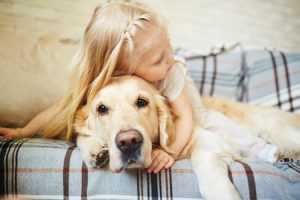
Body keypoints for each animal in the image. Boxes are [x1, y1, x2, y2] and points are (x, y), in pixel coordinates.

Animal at [74, 74, 300, 199]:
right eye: (102, 109)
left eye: (142, 102)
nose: (129, 142)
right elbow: (78, 136)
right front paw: (95, 150)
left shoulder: (204, 137)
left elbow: (202, 158)